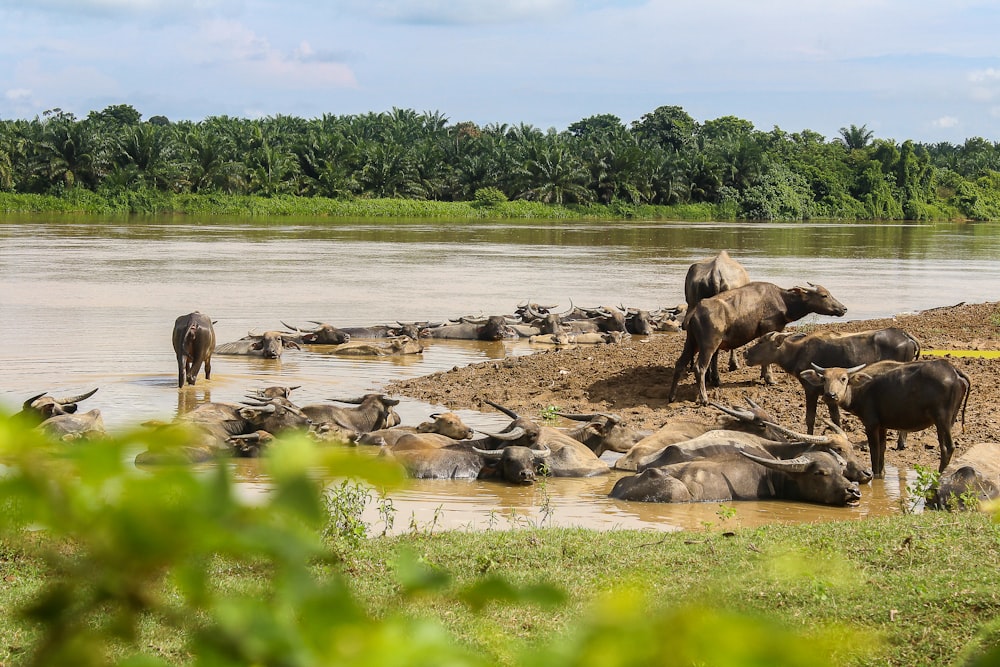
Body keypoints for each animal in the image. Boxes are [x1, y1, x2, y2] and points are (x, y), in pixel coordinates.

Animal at [668, 280, 848, 404]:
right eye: (824, 295)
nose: (844, 308)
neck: (783, 301)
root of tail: (695, 311)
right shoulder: (770, 328)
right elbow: (768, 358)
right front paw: (770, 378)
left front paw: (764, 376)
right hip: (708, 345)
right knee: (699, 368)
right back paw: (704, 398)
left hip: (691, 343)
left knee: (680, 364)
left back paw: (672, 396)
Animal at [748, 330, 916, 438]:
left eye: (761, 342)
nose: (745, 353)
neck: (798, 352)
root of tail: (908, 337)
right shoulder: (829, 395)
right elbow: (835, 418)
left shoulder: (810, 390)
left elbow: (810, 418)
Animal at [800, 360, 972, 480]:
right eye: (824, 379)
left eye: (843, 378)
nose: (830, 395)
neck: (860, 390)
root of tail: (954, 371)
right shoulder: (883, 425)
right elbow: (882, 449)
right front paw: (881, 474)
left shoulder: (871, 424)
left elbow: (874, 451)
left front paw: (874, 474)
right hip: (948, 420)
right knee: (945, 447)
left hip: (942, 418)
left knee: (948, 447)